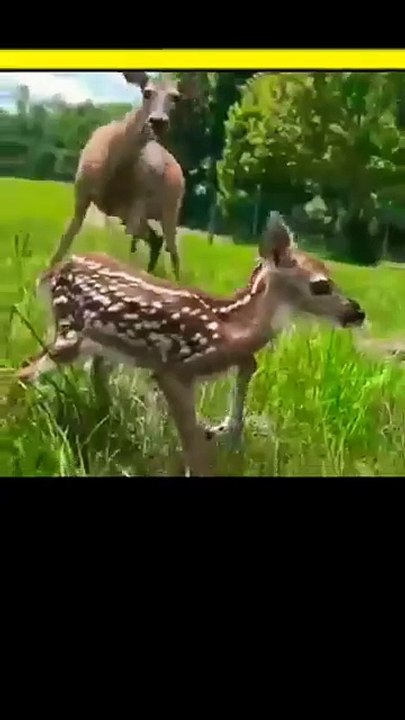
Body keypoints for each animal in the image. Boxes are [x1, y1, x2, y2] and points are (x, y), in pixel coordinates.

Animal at [17, 212, 366, 477]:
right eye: (321, 285)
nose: (357, 312)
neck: (230, 325)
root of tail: (55, 271)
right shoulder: (173, 368)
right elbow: (193, 443)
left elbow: (244, 371)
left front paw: (226, 430)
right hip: (69, 331)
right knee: (26, 370)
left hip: (101, 347)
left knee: (87, 378)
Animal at [49, 71, 200, 279]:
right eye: (147, 92)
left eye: (176, 97)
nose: (158, 121)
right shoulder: (82, 192)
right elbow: (66, 239)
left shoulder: (138, 202)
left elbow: (130, 252)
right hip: (133, 213)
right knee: (156, 239)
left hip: (170, 207)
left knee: (172, 249)